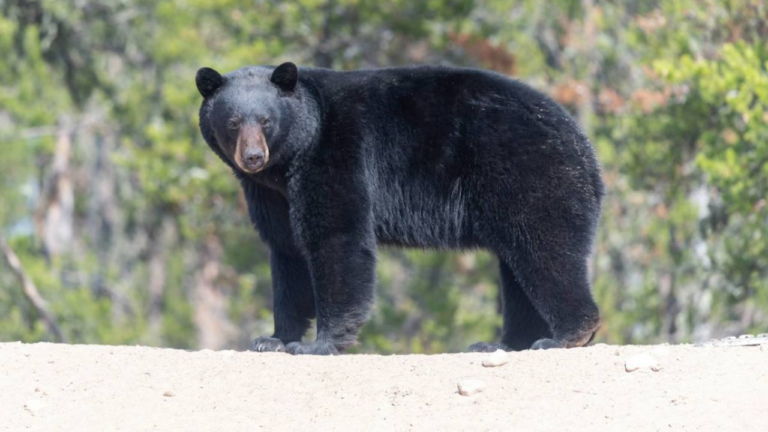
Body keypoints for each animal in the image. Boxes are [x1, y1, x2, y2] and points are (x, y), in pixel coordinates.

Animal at [195, 62, 604, 355]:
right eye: (233, 122)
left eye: (266, 120)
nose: (252, 157)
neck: (291, 158)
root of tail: (586, 150)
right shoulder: (270, 194)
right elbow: (287, 251)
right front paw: (273, 338)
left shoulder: (336, 154)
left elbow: (336, 236)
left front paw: (318, 344)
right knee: (517, 270)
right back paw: (502, 343)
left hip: (528, 174)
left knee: (545, 250)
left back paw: (565, 335)